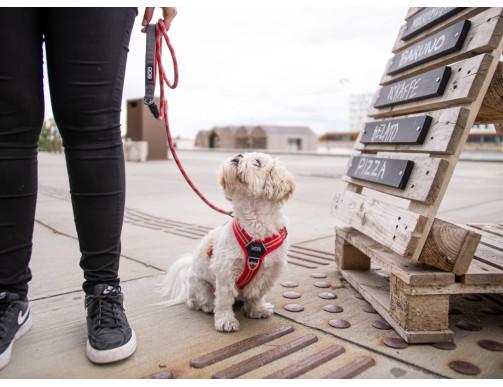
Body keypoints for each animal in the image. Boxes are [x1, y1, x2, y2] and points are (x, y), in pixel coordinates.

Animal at [161, 153, 296, 332]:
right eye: (242, 155)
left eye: (257, 162)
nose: (237, 156)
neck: (256, 226)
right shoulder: (226, 271)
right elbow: (224, 300)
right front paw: (225, 320)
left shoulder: (269, 272)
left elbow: (257, 295)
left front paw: (256, 309)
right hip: (200, 285)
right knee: (197, 300)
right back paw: (207, 305)